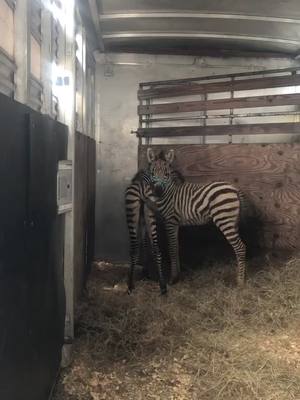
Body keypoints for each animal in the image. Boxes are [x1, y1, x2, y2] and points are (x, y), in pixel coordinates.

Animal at [145, 148, 246, 286]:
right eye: (152, 172)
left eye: (166, 174)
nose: (158, 191)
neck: (169, 194)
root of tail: (234, 189)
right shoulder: (175, 223)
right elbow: (176, 246)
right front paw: (178, 275)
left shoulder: (171, 221)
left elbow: (171, 248)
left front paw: (173, 278)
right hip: (232, 221)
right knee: (239, 247)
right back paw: (239, 276)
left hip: (224, 219)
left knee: (240, 247)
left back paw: (240, 282)